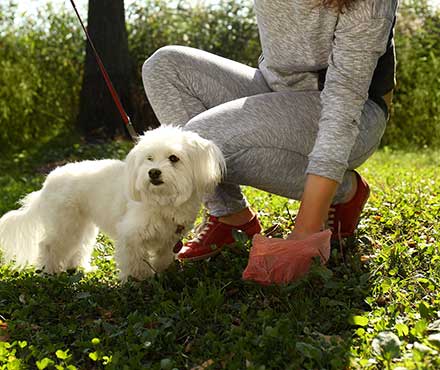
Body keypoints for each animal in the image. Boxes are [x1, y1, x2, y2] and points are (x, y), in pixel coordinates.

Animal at [0, 125, 225, 278]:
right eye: (149, 158)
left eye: (173, 158)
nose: (153, 173)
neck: (162, 201)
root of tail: (47, 183)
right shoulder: (130, 236)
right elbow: (135, 262)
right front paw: (140, 281)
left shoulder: (169, 239)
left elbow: (162, 257)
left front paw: (163, 272)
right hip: (65, 224)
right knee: (48, 245)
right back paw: (49, 271)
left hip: (82, 225)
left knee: (78, 246)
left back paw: (79, 267)